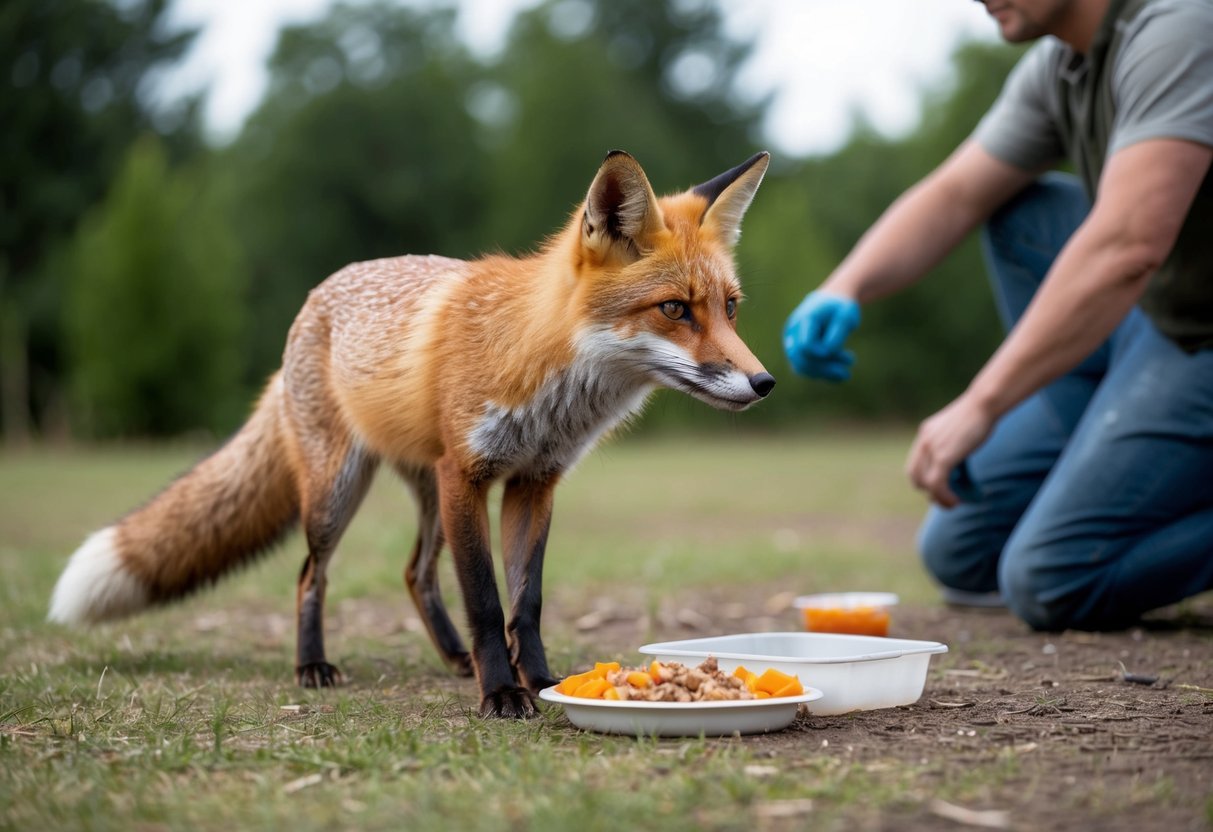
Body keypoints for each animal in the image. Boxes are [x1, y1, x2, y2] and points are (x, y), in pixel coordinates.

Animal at [48, 150, 775, 718]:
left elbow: (525, 602)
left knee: (414, 572)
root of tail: (312, 302)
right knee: (310, 575)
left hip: (427, 494)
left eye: (730, 308)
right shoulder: (469, 475)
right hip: (340, 492)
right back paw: (313, 666)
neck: (544, 371)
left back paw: (453, 657)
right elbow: (484, 599)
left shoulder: (534, 482)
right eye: (674, 309)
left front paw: (541, 680)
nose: (763, 382)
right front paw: (502, 694)